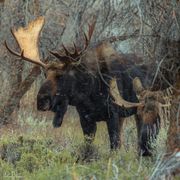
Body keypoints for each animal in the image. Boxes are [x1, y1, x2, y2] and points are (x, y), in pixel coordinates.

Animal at [4, 16, 165, 155]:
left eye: (60, 75)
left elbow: (114, 146)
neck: (89, 93)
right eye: (44, 74)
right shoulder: (86, 119)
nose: (41, 101)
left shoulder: (113, 116)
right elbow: (88, 146)